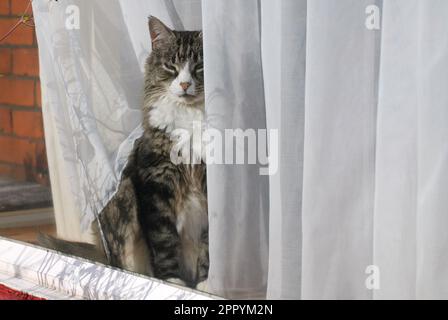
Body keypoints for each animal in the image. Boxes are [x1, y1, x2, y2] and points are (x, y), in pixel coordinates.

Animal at [39, 15, 207, 290]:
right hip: (124, 198)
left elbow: (208, 246)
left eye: (200, 67)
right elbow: (164, 242)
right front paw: (173, 283)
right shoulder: (156, 187)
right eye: (171, 67)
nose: (184, 84)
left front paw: (205, 284)